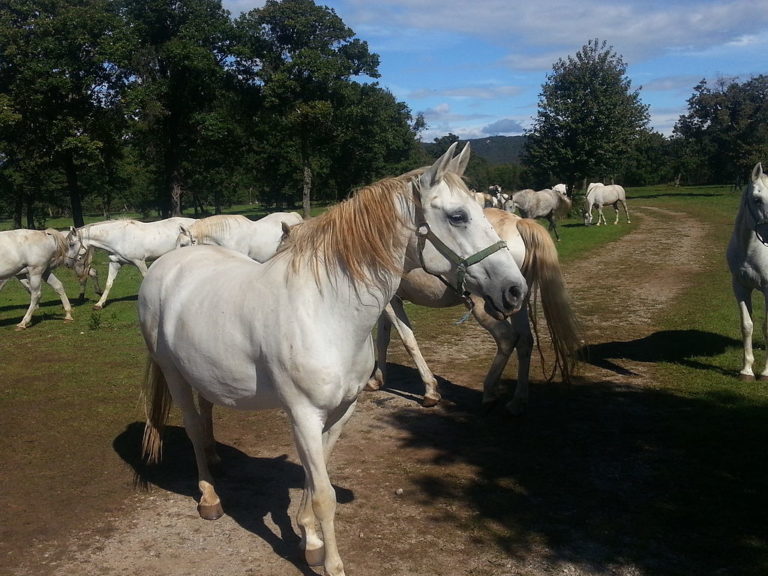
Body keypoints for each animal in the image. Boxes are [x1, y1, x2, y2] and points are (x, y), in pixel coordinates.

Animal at [65, 216, 195, 308]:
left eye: (71, 244)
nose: (66, 263)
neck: (119, 237)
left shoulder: (140, 262)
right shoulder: (115, 263)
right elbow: (109, 283)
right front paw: (99, 304)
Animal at [136, 143, 528, 576]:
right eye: (458, 216)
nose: (515, 289)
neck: (325, 311)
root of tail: (165, 265)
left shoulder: (343, 409)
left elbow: (315, 477)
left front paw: (309, 538)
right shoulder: (304, 415)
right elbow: (324, 494)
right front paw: (330, 563)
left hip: (202, 371)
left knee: (206, 413)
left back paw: (216, 459)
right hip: (172, 371)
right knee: (191, 424)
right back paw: (209, 497)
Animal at [368, 207, 584, 414]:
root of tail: (517, 222)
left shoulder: (391, 303)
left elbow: (408, 340)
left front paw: (430, 391)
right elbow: (383, 340)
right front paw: (377, 379)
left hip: (485, 307)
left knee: (507, 338)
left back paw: (489, 393)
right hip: (517, 303)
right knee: (525, 342)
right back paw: (518, 401)